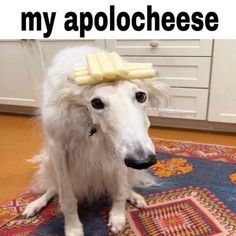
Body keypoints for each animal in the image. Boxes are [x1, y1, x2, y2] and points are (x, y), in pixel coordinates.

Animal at [22, 46, 170, 236]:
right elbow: (67, 198)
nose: (142, 161)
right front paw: (73, 228)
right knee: (53, 188)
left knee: (123, 185)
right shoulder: (58, 148)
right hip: (49, 163)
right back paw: (35, 205)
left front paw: (117, 217)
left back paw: (134, 196)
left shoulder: (118, 151)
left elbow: (120, 190)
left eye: (140, 96)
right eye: (97, 103)